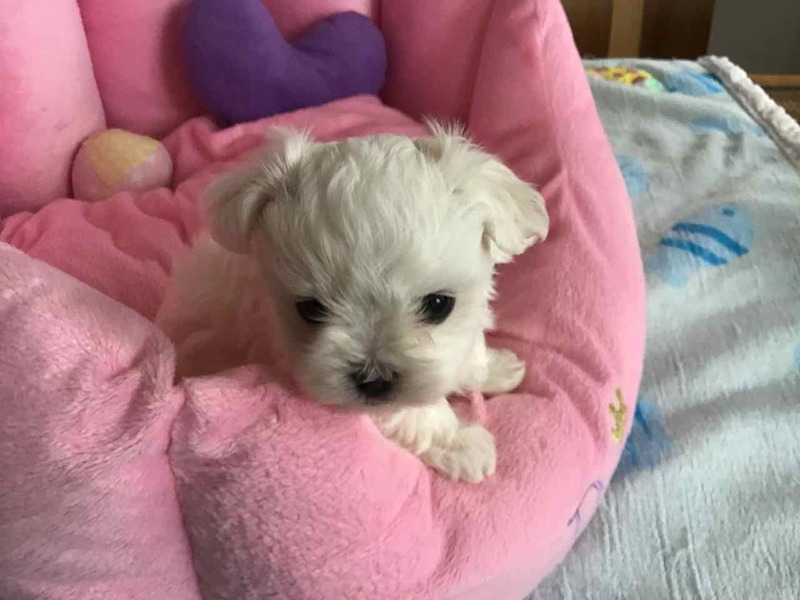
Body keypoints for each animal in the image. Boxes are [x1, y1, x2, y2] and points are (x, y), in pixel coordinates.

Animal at [155, 124, 548, 482]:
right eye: (311, 309)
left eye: (439, 305)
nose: (373, 380)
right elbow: (415, 413)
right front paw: (460, 443)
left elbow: (470, 351)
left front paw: (496, 368)